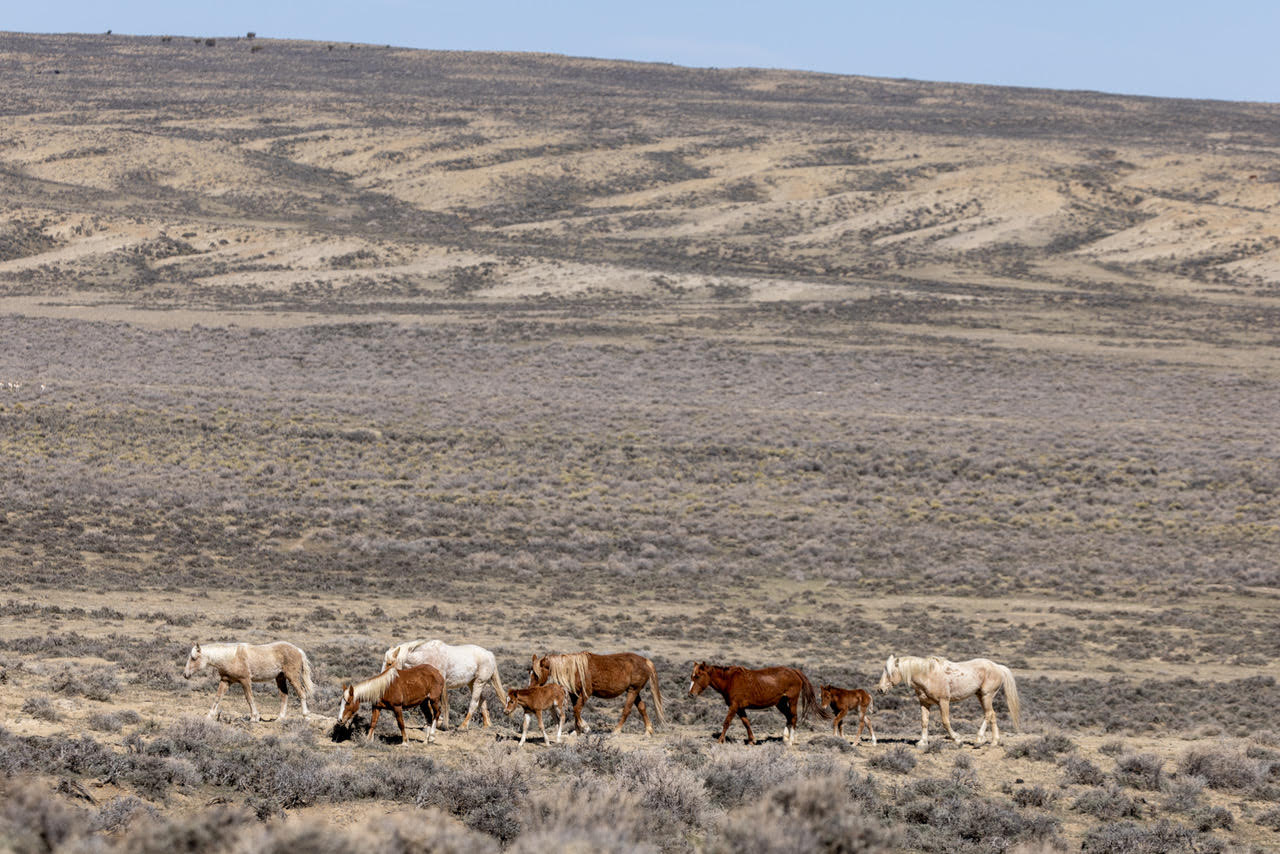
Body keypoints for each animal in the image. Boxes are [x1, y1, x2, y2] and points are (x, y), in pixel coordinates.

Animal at [182, 641, 314, 722]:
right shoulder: (225, 681)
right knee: (284, 696)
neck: (231, 657)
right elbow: (218, 697)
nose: (185, 674)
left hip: (292, 677)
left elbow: (249, 698)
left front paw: (254, 718)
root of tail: (298, 650)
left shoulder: (245, 680)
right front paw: (209, 716)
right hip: (280, 678)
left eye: (193, 658)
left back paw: (305, 716)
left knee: (301, 693)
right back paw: (280, 718)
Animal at [528, 651, 666, 735]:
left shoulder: (586, 693)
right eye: (530, 672)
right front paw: (577, 731)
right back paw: (648, 731)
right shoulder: (574, 695)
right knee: (642, 708)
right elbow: (575, 710)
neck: (574, 669)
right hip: (634, 691)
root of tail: (645, 660)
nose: (530, 688)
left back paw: (616, 731)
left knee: (627, 710)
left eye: (536, 673)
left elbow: (577, 710)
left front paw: (585, 727)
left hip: (633, 690)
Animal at [688, 662, 827, 745]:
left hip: (792, 700)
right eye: (691, 676)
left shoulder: (734, 706)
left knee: (793, 717)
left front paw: (720, 740)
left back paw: (790, 741)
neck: (729, 680)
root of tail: (794, 671)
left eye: (698, 676)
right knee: (788, 717)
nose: (690, 694)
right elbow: (746, 723)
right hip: (780, 703)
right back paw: (785, 738)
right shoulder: (740, 708)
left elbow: (726, 722)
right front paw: (751, 741)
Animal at [876, 654, 1021, 746]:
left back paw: (979, 739)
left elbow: (945, 722)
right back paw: (994, 742)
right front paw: (922, 742)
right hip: (981, 696)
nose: (880, 689)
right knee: (992, 714)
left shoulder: (944, 701)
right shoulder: (924, 703)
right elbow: (924, 722)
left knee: (988, 714)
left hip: (986, 695)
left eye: (889, 672)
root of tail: (998, 667)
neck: (928, 675)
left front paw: (957, 739)